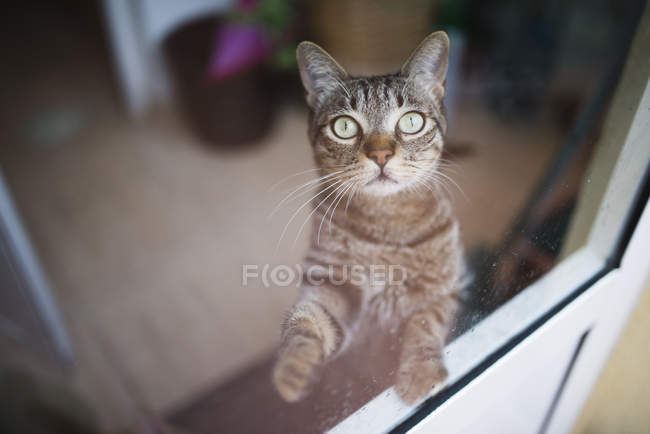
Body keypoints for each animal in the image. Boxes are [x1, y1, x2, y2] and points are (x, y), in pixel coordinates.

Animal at [270, 32, 464, 406]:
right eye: (344, 126)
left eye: (411, 121)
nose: (381, 154)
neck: (386, 223)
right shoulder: (331, 281)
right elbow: (307, 319)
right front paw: (294, 364)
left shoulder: (446, 286)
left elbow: (426, 320)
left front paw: (421, 371)